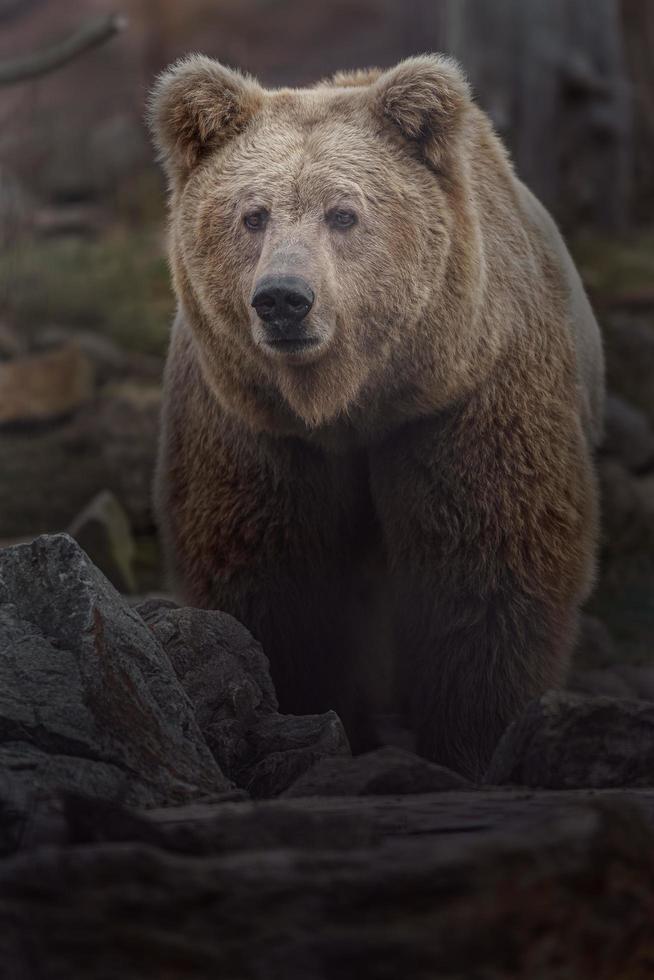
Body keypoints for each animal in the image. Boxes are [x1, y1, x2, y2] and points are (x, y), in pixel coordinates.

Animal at [147, 53, 604, 776]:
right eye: (253, 215)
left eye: (343, 214)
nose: (283, 299)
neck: (348, 402)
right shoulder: (255, 425)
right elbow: (274, 573)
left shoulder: (465, 399)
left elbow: (486, 568)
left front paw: (472, 742)